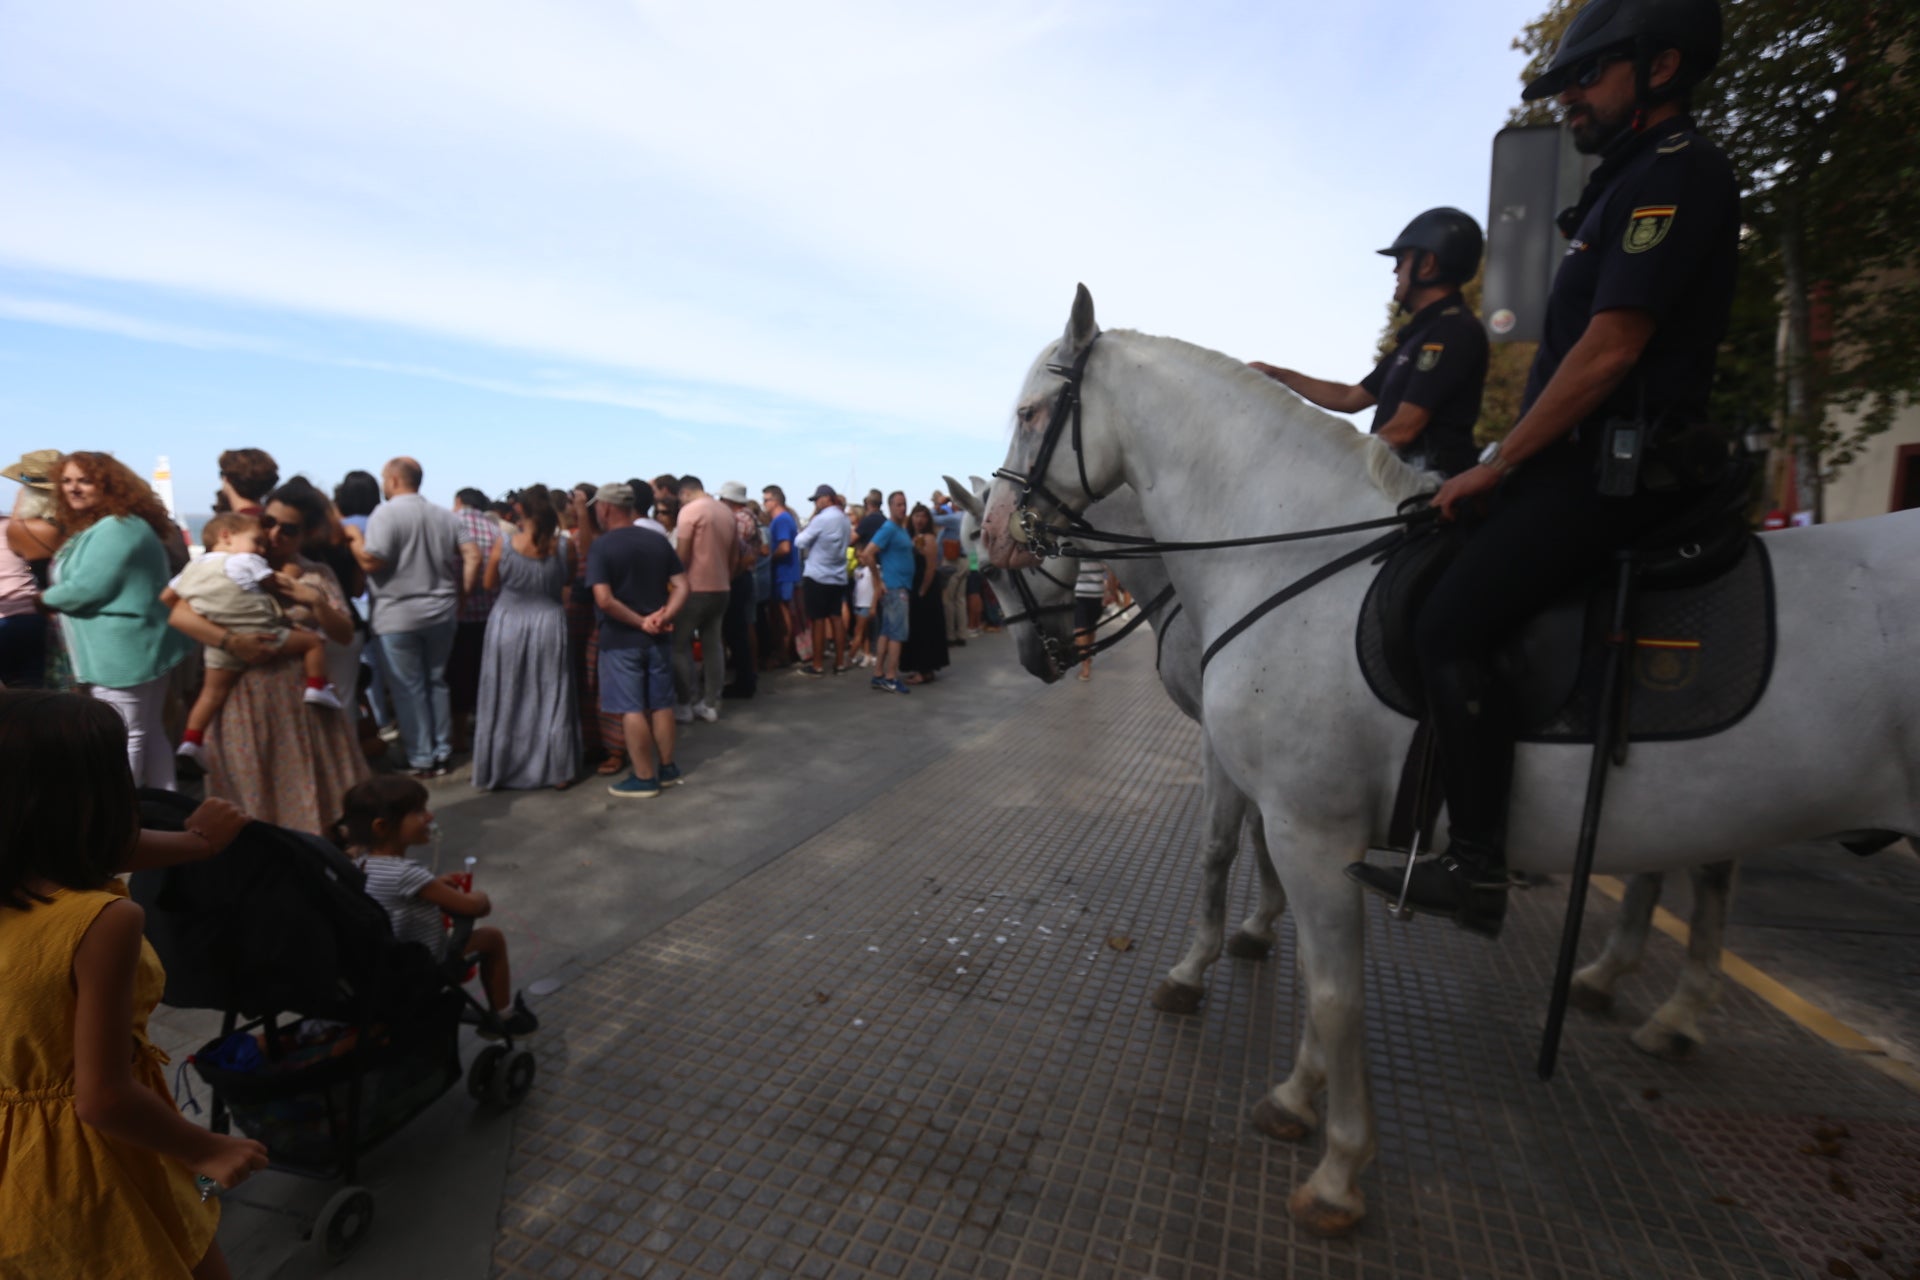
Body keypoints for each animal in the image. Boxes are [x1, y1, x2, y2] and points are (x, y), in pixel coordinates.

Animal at [956, 474, 1743, 1059]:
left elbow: (1231, 842)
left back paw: (1669, 1004)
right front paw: (1263, 923)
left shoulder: (1234, 742)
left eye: (992, 565)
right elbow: (1260, 838)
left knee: (1701, 866)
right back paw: (1628, 981)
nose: (1032, 659)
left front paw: (1232, 941)